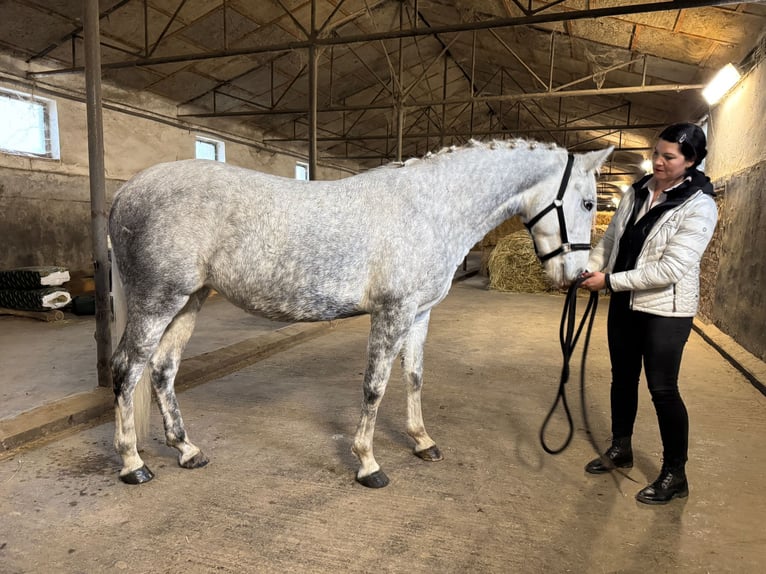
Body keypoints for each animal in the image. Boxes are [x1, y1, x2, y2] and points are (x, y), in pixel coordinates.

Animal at [108, 138, 612, 488]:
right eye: (588, 202)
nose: (575, 275)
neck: (429, 207)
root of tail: (126, 192)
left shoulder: (420, 315)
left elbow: (414, 378)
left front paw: (422, 442)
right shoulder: (392, 312)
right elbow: (375, 386)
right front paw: (368, 464)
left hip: (189, 300)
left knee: (163, 369)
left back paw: (186, 450)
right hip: (158, 300)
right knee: (127, 369)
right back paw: (133, 464)